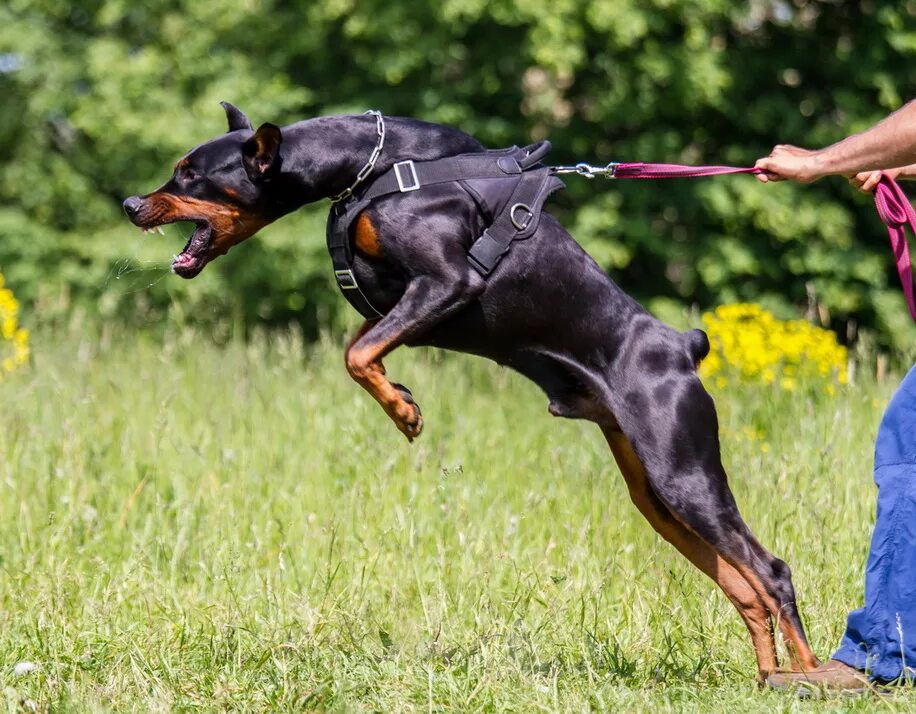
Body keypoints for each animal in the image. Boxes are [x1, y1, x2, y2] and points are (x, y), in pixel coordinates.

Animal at [125, 103, 820, 676]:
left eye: (190, 175)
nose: (132, 203)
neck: (370, 167)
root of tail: (682, 349)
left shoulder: (448, 281)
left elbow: (356, 354)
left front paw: (404, 412)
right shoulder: (403, 300)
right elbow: (360, 348)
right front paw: (400, 395)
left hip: (685, 472)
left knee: (773, 573)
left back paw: (813, 677)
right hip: (656, 497)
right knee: (744, 588)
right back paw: (770, 678)